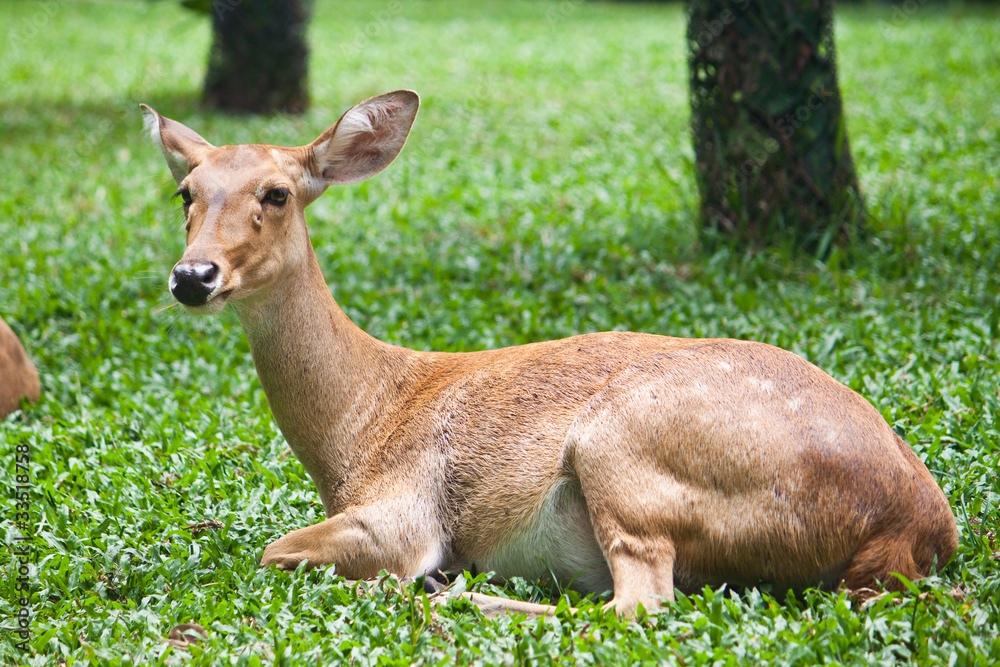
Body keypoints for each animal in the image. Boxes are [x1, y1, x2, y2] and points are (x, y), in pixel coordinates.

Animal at [137, 91, 956, 620]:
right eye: (186, 191)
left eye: (277, 193)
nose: (192, 275)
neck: (358, 424)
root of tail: (913, 531)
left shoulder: (404, 508)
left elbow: (274, 551)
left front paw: (413, 580)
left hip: (623, 447)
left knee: (641, 604)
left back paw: (457, 595)